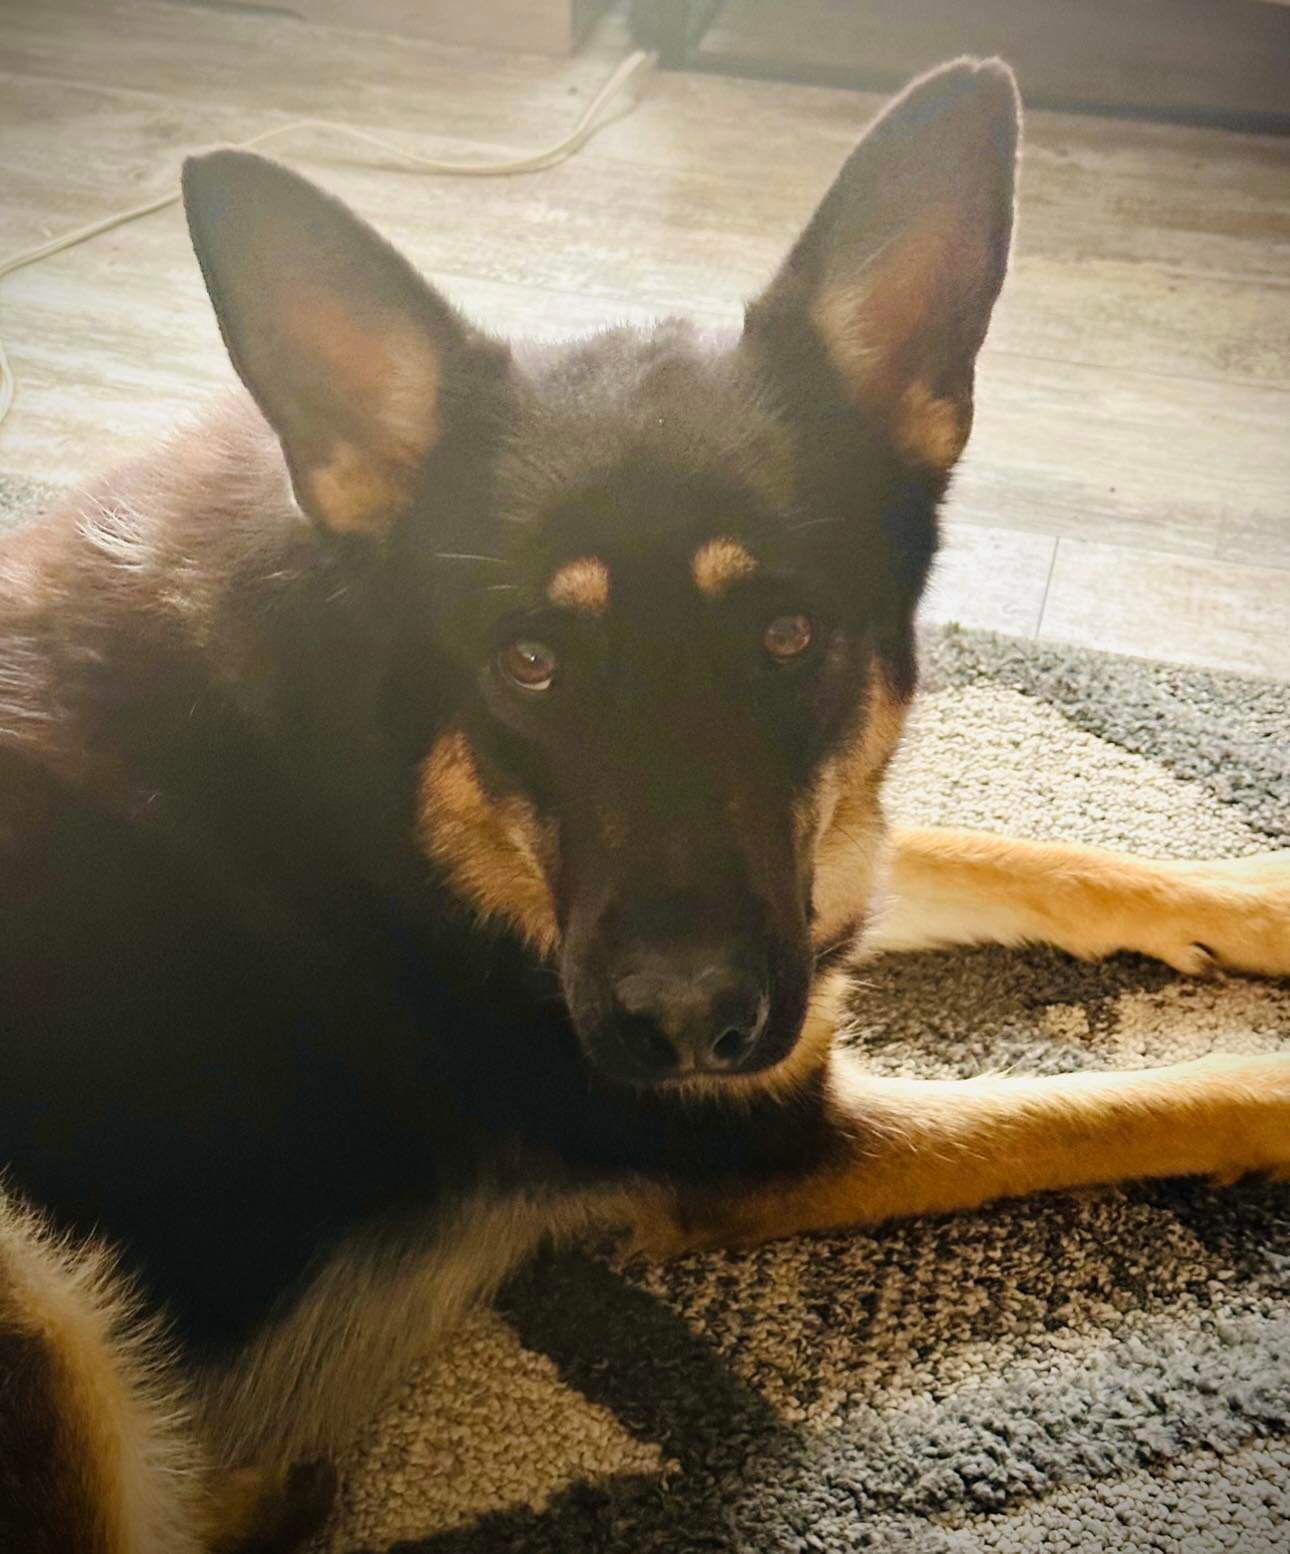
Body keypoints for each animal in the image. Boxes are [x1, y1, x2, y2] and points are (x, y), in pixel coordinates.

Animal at [2, 57, 1290, 1541]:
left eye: (786, 635)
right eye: (530, 661)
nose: (684, 1026)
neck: (403, 783)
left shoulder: (813, 885)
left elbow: (1020, 854)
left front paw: (1255, 897)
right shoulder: (770, 1130)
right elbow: (1123, 1102)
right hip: (38, 1289)